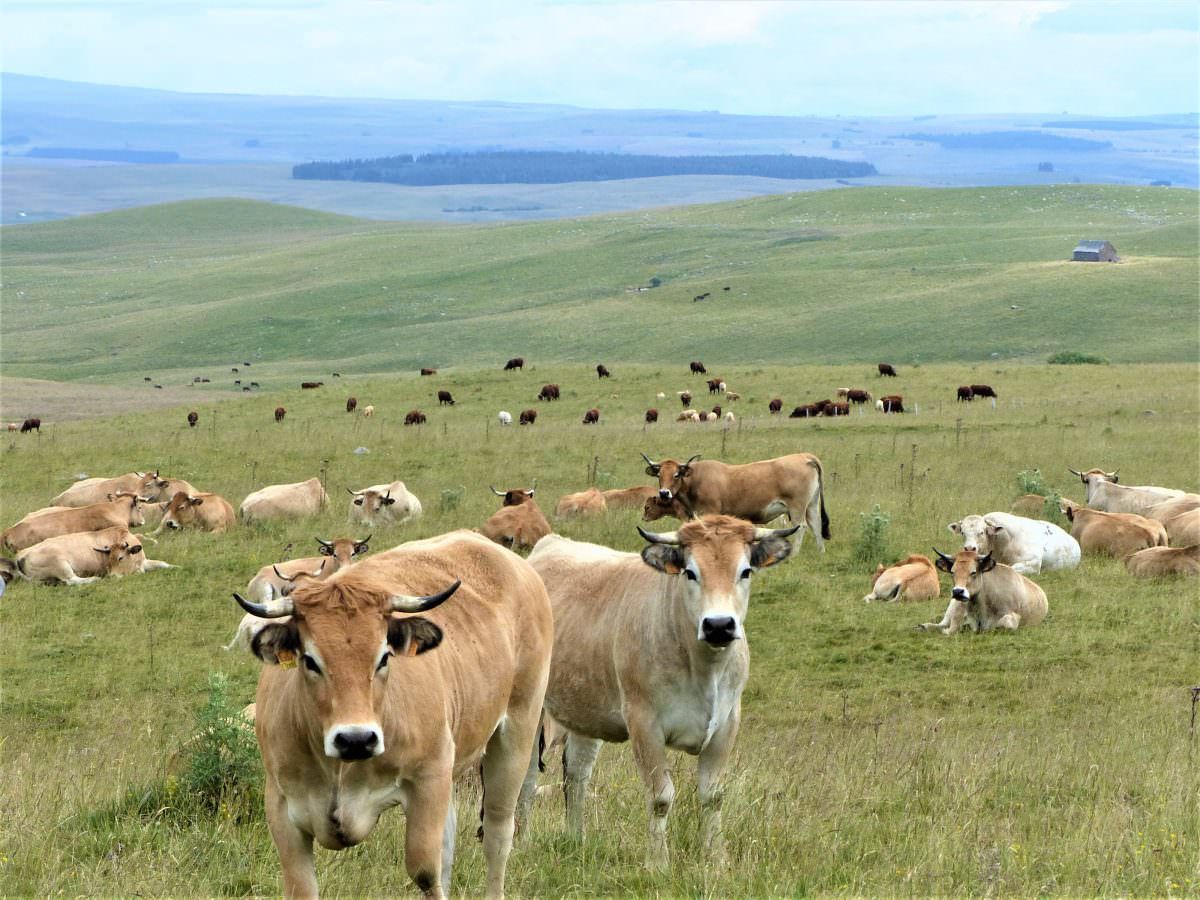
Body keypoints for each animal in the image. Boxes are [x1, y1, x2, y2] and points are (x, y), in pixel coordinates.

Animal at [13, 526, 172, 585]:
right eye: (109, 561)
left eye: (120, 558)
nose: (111, 576)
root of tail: (21, 555)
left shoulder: (144, 562)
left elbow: (163, 563)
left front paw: (175, 567)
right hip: (60, 564)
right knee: (71, 580)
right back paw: (94, 579)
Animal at [230, 529, 552, 899]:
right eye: (309, 660)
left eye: (384, 656)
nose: (356, 739)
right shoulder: (281, 806)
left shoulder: (427, 780)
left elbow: (426, 872)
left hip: (517, 731)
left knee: (498, 834)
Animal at [526, 517, 799, 868]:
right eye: (690, 572)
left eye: (745, 571)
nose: (719, 625)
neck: (703, 669)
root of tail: (551, 543)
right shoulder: (644, 724)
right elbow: (661, 797)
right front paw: (657, 864)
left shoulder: (727, 723)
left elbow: (713, 795)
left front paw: (716, 860)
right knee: (526, 780)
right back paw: (519, 841)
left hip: (585, 709)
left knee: (576, 775)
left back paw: (576, 839)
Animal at [641, 452, 829, 551]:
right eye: (659, 475)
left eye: (676, 474)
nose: (664, 493)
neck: (696, 479)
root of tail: (804, 457)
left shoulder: (710, 512)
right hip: (811, 506)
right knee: (816, 524)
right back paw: (821, 551)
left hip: (797, 507)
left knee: (801, 527)